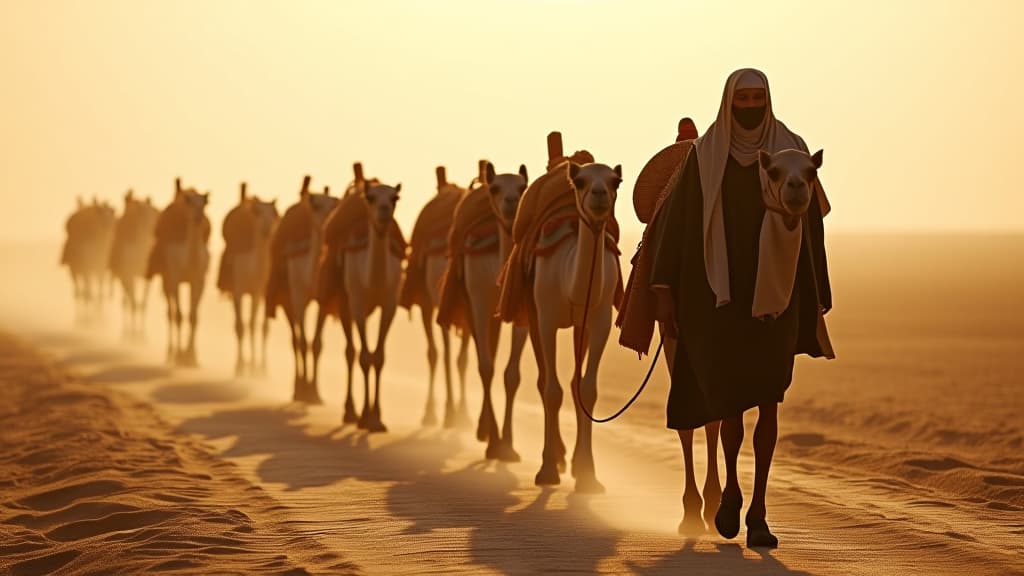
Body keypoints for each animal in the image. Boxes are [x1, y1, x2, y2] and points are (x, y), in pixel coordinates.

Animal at [109, 189, 158, 332]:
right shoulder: (127, 274)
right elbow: (133, 301)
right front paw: (133, 330)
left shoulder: (144, 275)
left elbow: (141, 302)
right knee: (128, 300)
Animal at [147, 178, 210, 362]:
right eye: (189, 202)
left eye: (204, 203)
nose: (198, 217)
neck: (189, 263)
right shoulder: (174, 277)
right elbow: (179, 316)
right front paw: (178, 355)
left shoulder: (199, 280)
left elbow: (193, 316)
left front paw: (191, 356)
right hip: (166, 278)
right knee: (170, 312)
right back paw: (170, 351)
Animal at [218, 181, 278, 375]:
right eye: (258, 213)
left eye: (274, 214)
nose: (267, 229)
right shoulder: (238, 290)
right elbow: (241, 326)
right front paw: (240, 366)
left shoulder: (259, 293)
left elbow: (257, 326)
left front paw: (259, 368)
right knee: (242, 324)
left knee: (258, 326)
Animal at [266, 176, 337, 403]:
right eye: (316, 205)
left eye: (334, 204)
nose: (327, 222)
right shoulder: (298, 296)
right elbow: (304, 341)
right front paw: (304, 391)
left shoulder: (322, 298)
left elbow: (317, 343)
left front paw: (315, 392)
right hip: (285, 298)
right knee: (295, 339)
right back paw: (296, 387)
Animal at [399, 165, 471, 426]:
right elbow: (443, 354)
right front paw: (449, 412)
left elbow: (463, 358)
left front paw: (464, 414)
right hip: (430, 304)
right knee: (437, 352)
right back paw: (434, 411)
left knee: (450, 353)